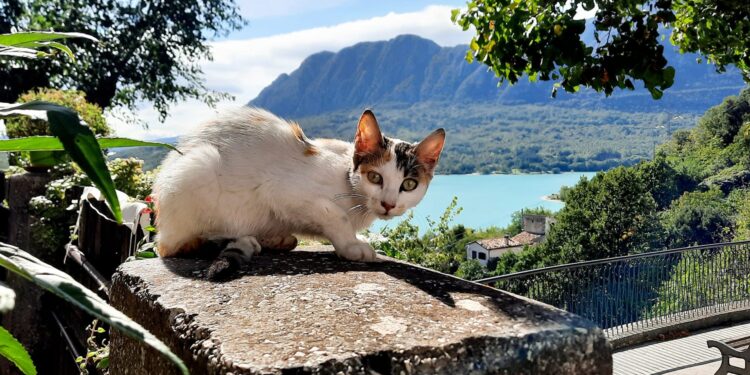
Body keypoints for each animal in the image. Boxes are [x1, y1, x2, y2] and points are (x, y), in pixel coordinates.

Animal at [153, 107, 446, 280]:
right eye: (375, 177)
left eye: (409, 184)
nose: (388, 204)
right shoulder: (280, 190)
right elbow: (335, 215)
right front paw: (351, 246)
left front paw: (355, 238)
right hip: (200, 165)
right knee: (173, 246)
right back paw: (243, 240)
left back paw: (275, 239)